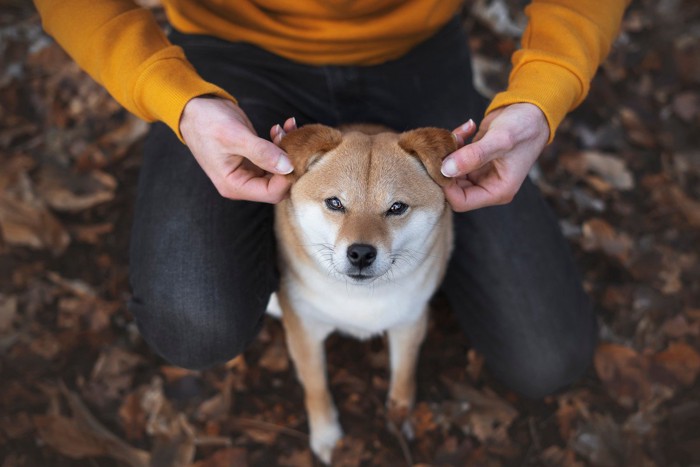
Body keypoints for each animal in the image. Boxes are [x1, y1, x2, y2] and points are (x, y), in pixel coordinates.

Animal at [270, 124, 456, 464]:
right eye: (335, 203)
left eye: (396, 208)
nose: (360, 253)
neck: (362, 299)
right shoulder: (304, 328)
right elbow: (316, 387)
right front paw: (327, 435)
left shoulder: (410, 322)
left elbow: (404, 377)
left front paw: (399, 420)